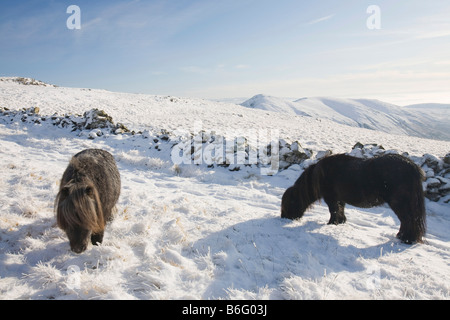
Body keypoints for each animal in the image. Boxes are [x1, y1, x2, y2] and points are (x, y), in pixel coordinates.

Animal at [282, 154, 426, 244]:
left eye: (291, 202)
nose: (284, 217)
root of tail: (412, 167)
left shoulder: (331, 198)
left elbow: (333, 211)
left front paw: (332, 223)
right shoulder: (339, 199)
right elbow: (340, 210)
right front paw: (340, 222)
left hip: (399, 204)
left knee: (407, 220)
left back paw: (406, 239)